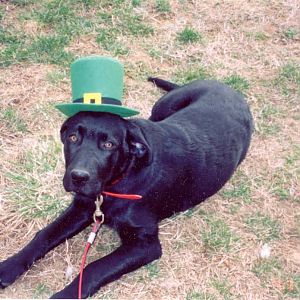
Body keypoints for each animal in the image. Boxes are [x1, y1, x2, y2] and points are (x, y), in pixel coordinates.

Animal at [0, 78, 253, 298]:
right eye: (72, 137)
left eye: (108, 144)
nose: (78, 177)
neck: (118, 181)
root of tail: (225, 86)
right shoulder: (82, 206)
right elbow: (44, 235)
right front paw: (9, 266)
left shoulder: (145, 243)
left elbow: (95, 267)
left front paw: (65, 295)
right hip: (163, 107)